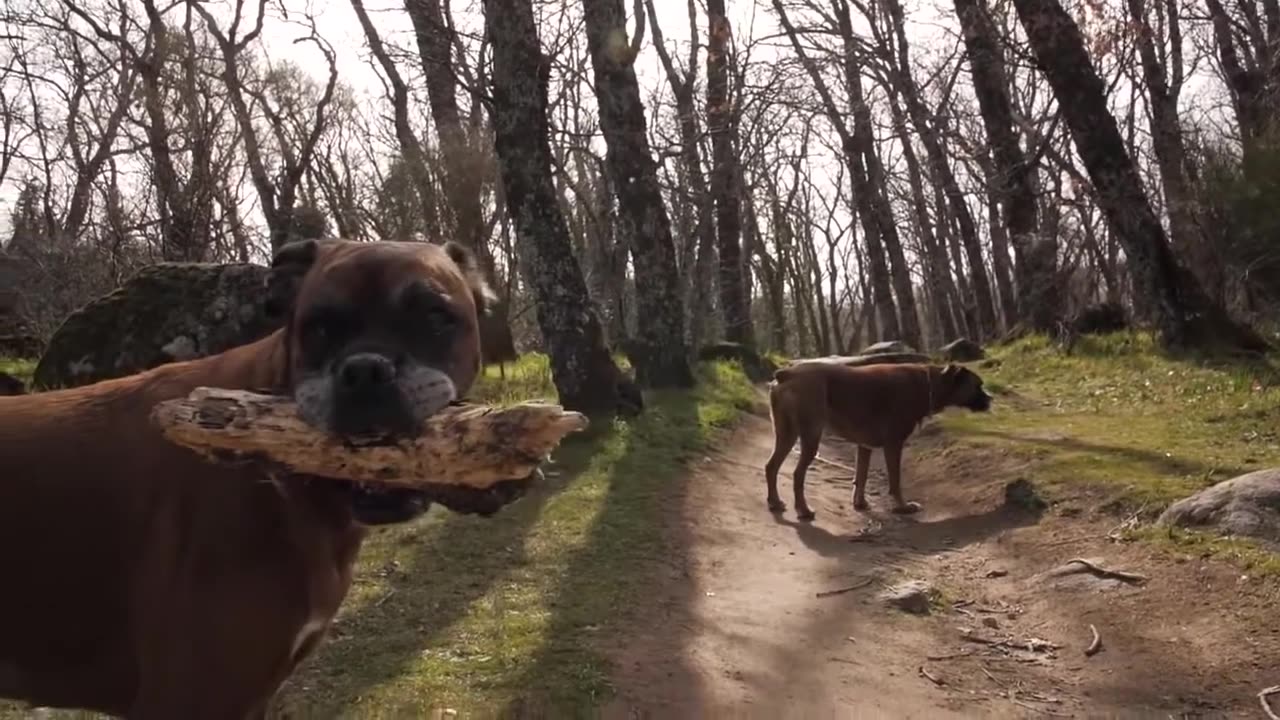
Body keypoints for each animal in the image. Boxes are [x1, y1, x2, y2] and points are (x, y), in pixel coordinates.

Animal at [762, 361, 993, 517]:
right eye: (978, 385)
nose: (991, 399)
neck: (929, 383)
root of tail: (787, 373)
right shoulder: (894, 445)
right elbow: (895, 480)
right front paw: (902, 506)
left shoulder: (864, 447)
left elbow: (861, 476)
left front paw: (860, 503)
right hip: (810, 437)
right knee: (797, 474)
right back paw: (803, 510)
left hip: (786, 435)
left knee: (771, 466)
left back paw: (774, 502)